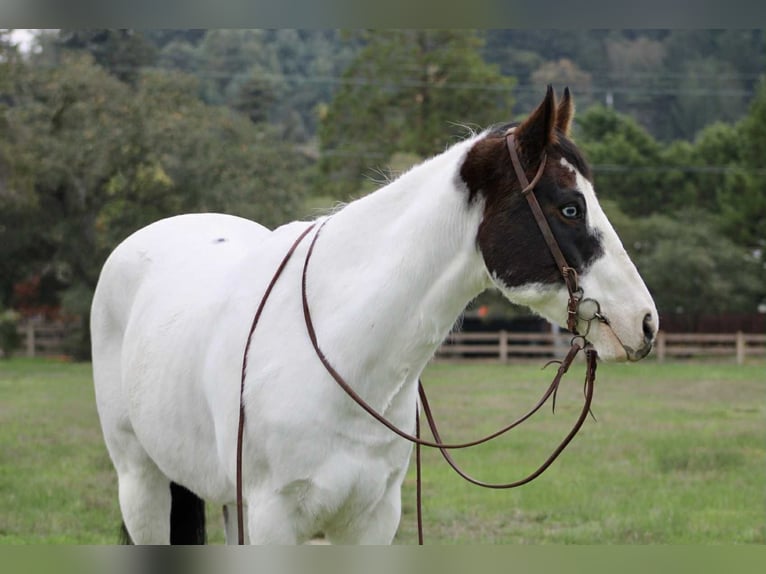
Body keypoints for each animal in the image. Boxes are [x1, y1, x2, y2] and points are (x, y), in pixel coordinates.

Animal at [90, 86, 658, 545]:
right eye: (569, 208)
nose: (645, 322)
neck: (338, 351)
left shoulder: (371, 519)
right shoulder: (272, 521)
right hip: (143, 486)